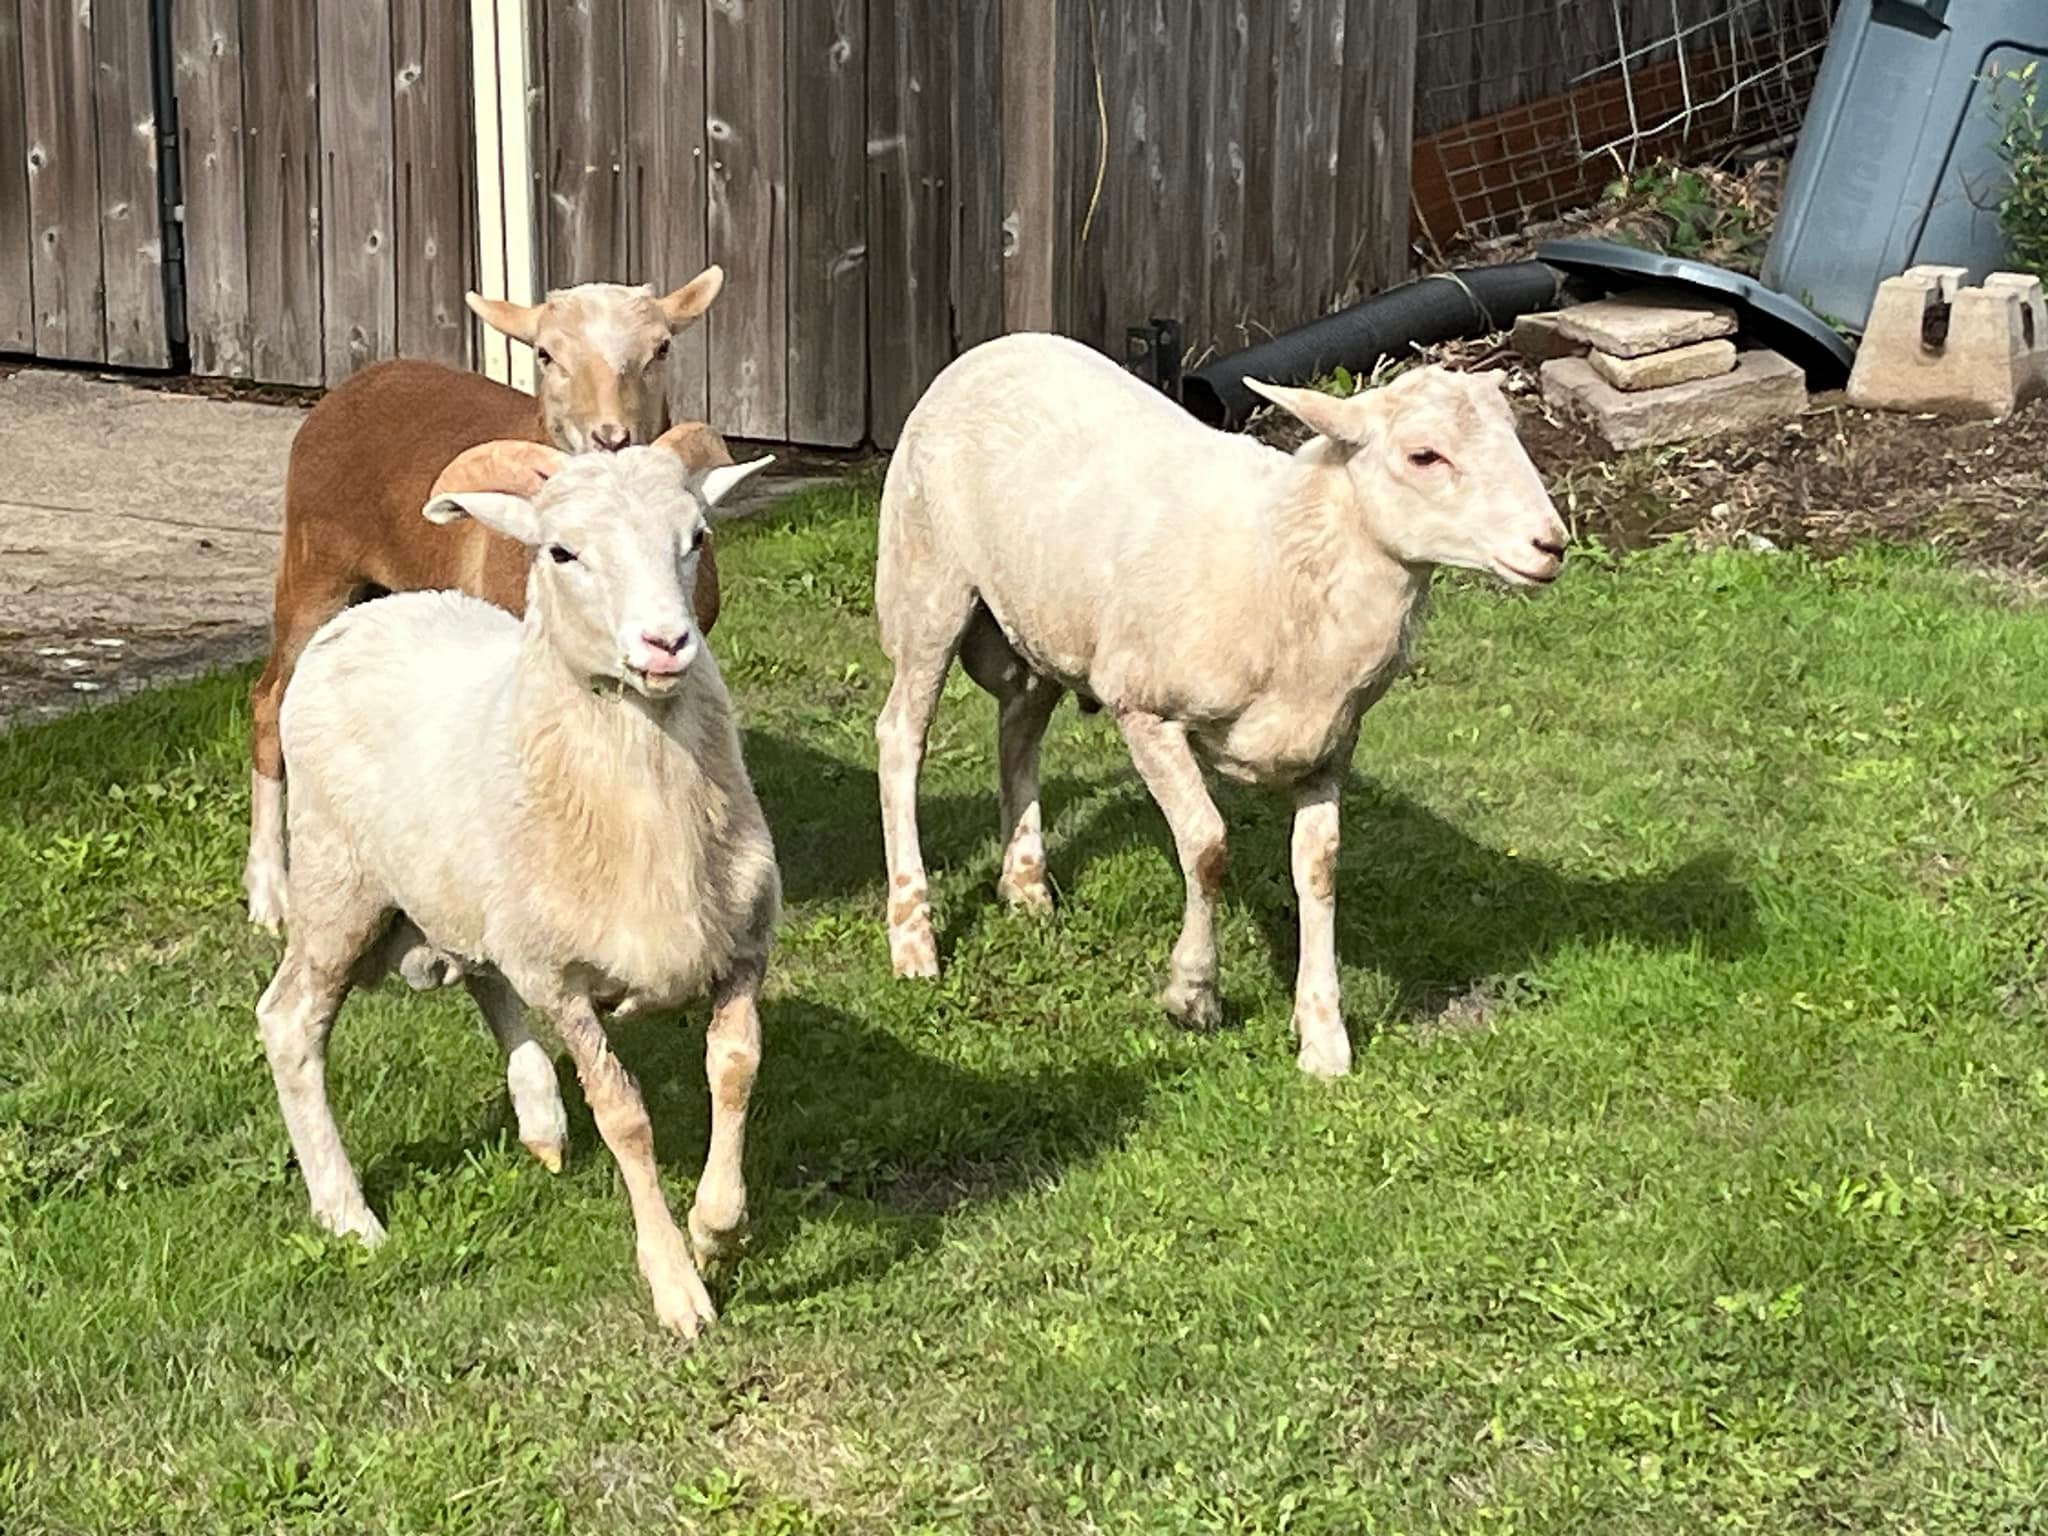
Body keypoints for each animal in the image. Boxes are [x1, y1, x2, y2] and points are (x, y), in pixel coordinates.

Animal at [243, 269, 731, 933]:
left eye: (661, 349)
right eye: (546, 355)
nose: (611, 437)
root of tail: (358, 380)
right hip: (314, 564)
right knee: (270, 697)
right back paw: (270, 889)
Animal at [258, 427, 779, 1339]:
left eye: (696, 537)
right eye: (561, 552)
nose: (666, 644)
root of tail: (367, 613)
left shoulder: (741, 948)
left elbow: (736, 1068)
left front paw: (718, 1229)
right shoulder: (563, 981)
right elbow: (625, 1116)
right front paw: (676, 1284)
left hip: (469, 889)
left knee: (482, 972)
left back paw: (539, 1116)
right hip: (335, 884)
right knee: (290, 1023)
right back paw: (347, 1212)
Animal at [874, 334, 1568, 1077]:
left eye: (1515, 436)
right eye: (1424, 456)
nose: (1551, 544)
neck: (1284, 556)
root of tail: (995, 346)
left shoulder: (1330, 744)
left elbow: (1319, 870)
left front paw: (1323, 1035)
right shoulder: (1144, 708)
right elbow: (1207, 846)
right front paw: (1193, 993)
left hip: (1043, 620)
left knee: (1019, 729)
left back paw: (1026, 884)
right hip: (926, 582)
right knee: (901, 738)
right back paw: (913, 938)